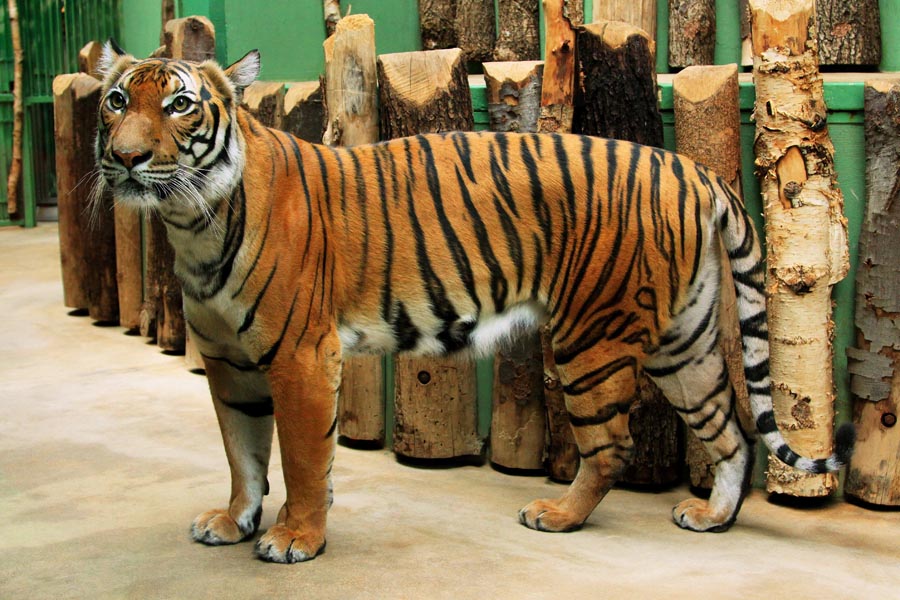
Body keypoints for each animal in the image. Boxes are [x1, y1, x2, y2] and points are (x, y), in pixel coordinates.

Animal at [95, 43, 855, 564]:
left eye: (179, 104)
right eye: (116, 102)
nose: (125, 158)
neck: (191, 221)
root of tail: (690, 167)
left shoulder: (301, 358)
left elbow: (303, 458)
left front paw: (296, 537)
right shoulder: (229, 363)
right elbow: (242, 455)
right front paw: (234, 521)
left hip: (592, 337)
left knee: (612, 446)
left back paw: (558, 515)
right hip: (682, 339)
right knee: (730, 428)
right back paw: (712, 516)